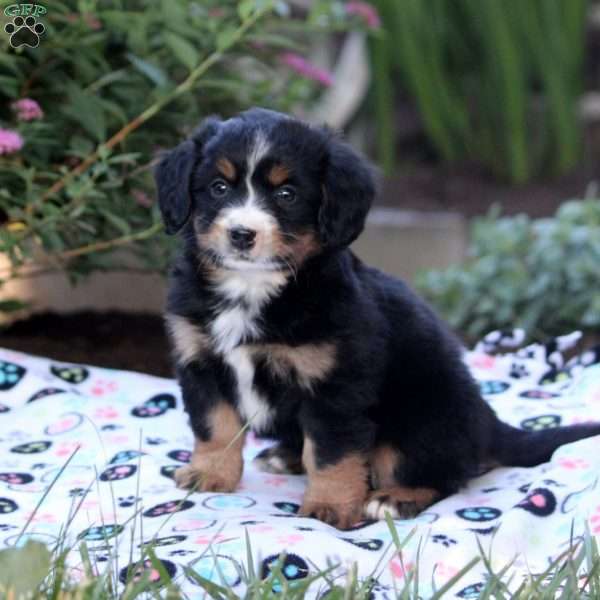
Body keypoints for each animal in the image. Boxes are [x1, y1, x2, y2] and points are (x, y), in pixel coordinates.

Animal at [156, 109, 600, 528]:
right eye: (218, 187)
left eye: (286, 194)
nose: (241, 234)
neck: (252, 289)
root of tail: (488, 423)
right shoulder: (202, 363)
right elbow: (215, 427)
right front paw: (209, 475)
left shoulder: (335, 385)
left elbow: (331, 453)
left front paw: (328, 507)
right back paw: (285, 456)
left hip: (419, 421)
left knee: (442, 476)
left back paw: (393, 499)